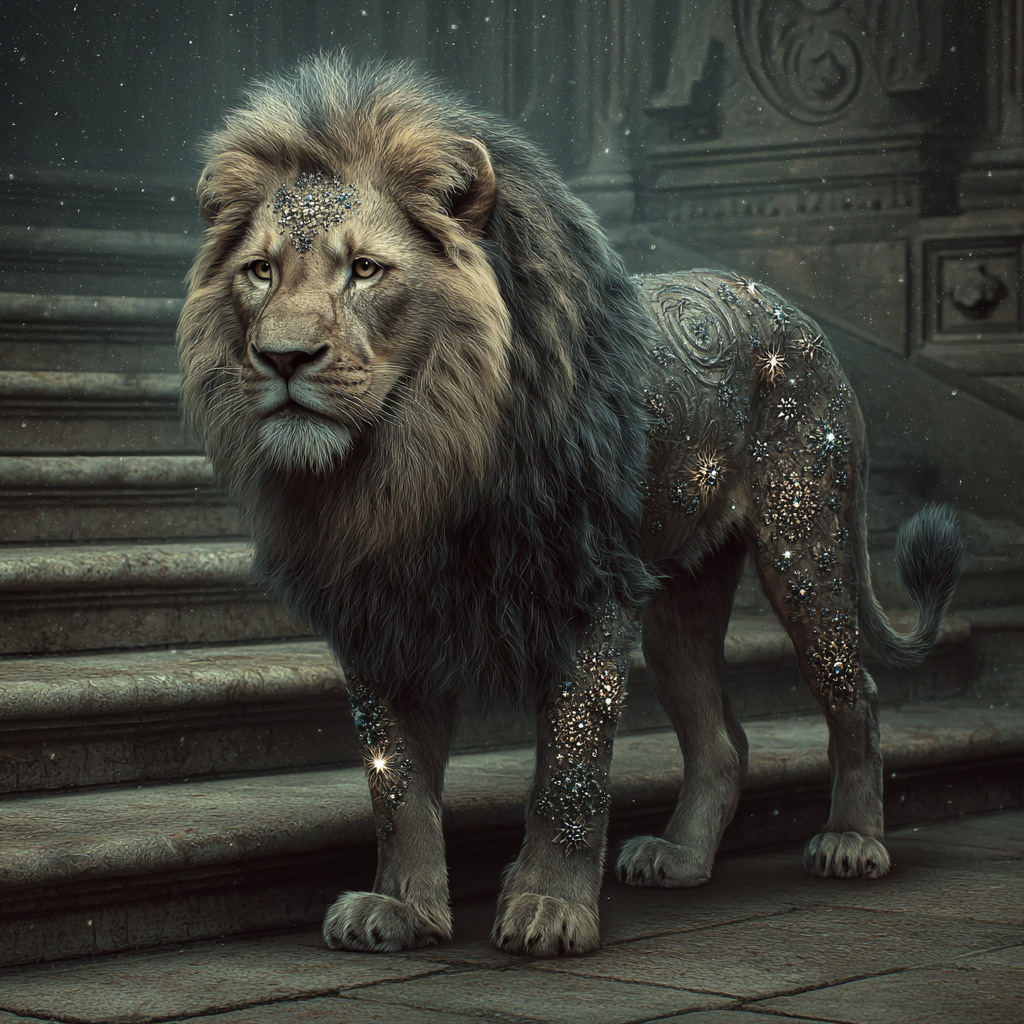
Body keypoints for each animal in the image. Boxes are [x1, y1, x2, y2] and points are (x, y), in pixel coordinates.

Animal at [178, 54, 963, 958]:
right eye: (261, 271)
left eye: (366, 270)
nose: (282, 357)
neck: (414, 457)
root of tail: (786, 305)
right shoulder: (378, 611)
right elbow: (397, 783)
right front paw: (402, 910)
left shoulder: (589, 593)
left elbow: (571, 766)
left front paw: (550, 907)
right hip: (681, 597)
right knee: (723, 739)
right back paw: (681, 860)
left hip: (805, 540)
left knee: (855, 691)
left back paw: (854, 843)